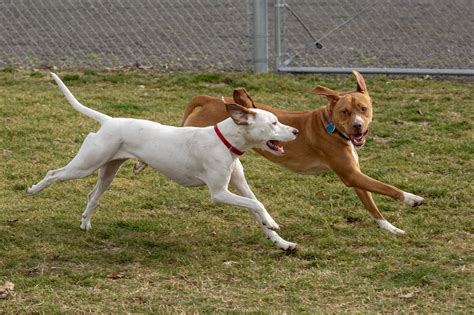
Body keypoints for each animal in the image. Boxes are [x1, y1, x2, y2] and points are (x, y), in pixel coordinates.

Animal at [25, 74, 298, 252]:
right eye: (274, 123)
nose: (295, 131)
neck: (225, 141)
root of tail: (109, 120)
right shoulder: (219, 193)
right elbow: (256, 204)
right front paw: (273, 223)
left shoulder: (239, 186)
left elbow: (257, 206)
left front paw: (281, 241)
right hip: (83, 166)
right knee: (53, 173)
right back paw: (33, 190)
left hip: (108, 172)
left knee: (93, 195)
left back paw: (85, 222)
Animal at [135, 71, 424, 235]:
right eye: (345, 111)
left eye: (363, 108)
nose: (357, 126)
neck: (329, 125)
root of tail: (209, 98)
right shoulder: (350, 175)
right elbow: (387, 187)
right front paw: (412, 198)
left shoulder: (354, 175)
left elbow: (372, 204)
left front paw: (390, 227)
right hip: (192, 130)